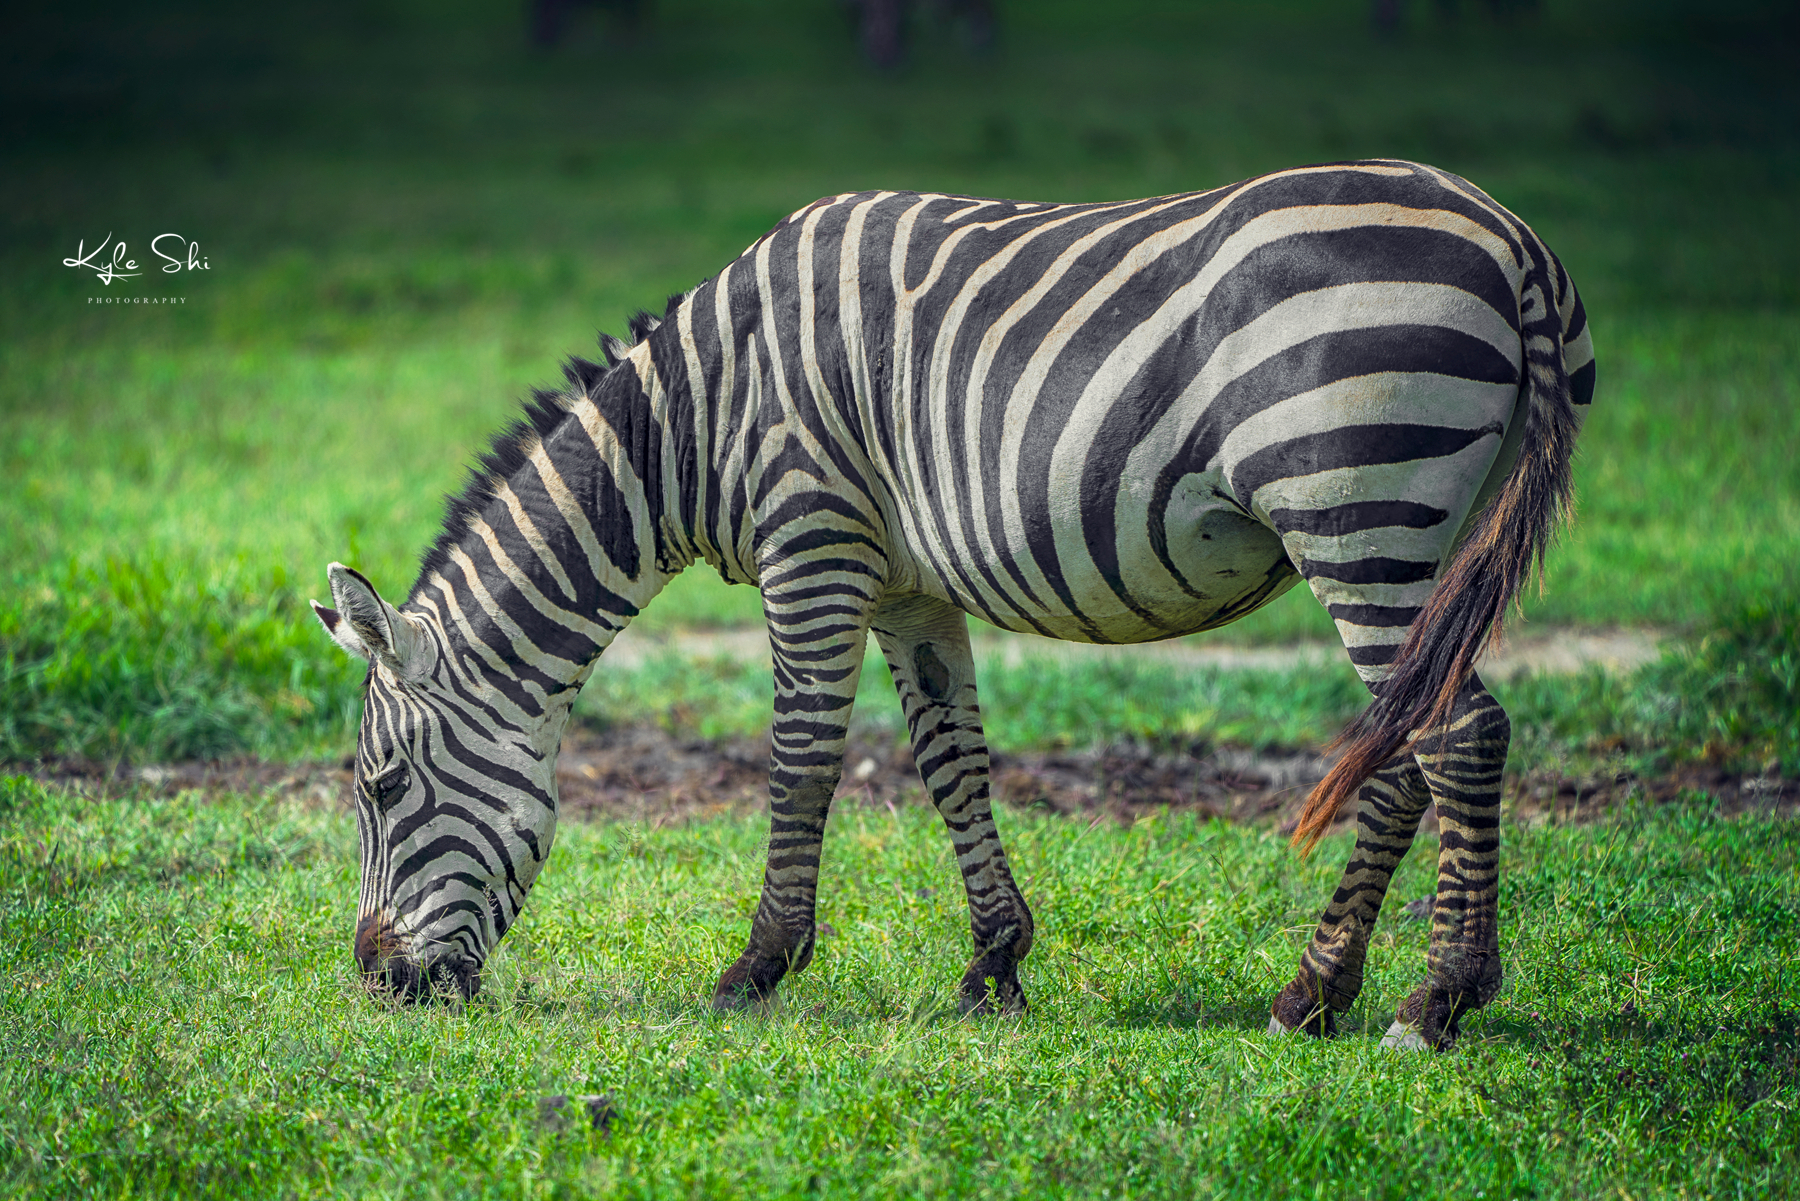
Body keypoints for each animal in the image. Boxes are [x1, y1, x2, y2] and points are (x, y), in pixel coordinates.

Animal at [309, 159, 1591, 1051]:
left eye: (381, 788)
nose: (376, 982)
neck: (693, 422)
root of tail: (1512, 234)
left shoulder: (811, 542)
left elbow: (801, 759)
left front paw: (758, 967)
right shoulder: (907, 588)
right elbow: (951, 763)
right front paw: (995, 966)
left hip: (1362, 510)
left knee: (1457, 734)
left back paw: (1432, 1000)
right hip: (1389, 529)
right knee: (1407, 747)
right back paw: (1317, 990)